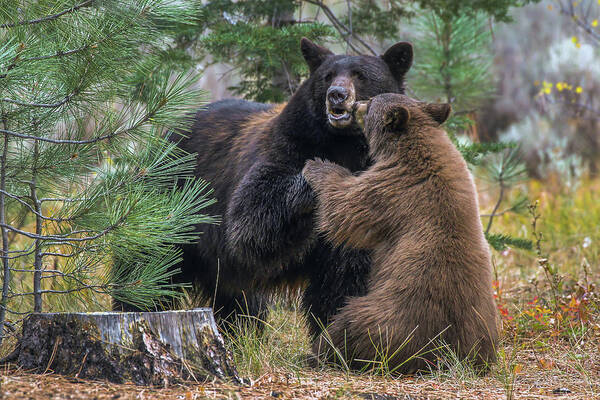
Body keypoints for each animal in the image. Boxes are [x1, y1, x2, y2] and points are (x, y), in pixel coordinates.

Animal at [116, 38, 412, 338]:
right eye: (327, 76)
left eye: (360, 75)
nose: (336, 95)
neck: (343, 145)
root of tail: (170, 131)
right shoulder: (286, 147)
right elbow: (252, 220)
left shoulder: (369, 204)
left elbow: (344, 275)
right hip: (171, 201)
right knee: (151, 264)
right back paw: (136, 309)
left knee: (236, 296)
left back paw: (240, 330)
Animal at [302, 92, 500, 374]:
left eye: (370, 103)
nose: (354, 103)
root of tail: (445, 354)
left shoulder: (392, 186)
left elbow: (345, 207)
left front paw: (317, 166)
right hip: (482, 325)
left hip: (390, 316)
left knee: (349, 325)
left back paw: (318, 353)